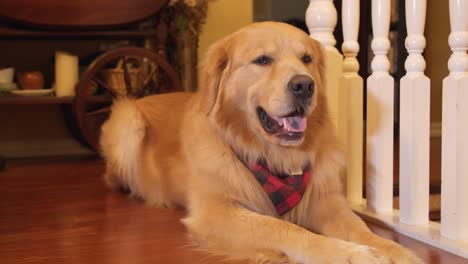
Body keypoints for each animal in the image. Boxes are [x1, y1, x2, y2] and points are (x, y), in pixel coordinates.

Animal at [100, 21, 422, 262]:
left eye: (307, 59)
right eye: (263, 60)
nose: (304, 85)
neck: (275, 158)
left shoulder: (326, 201)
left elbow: (361, 228)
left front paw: (397, 251)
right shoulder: (216, 212)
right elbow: (283, 228)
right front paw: (348, 253)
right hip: (127, 121)